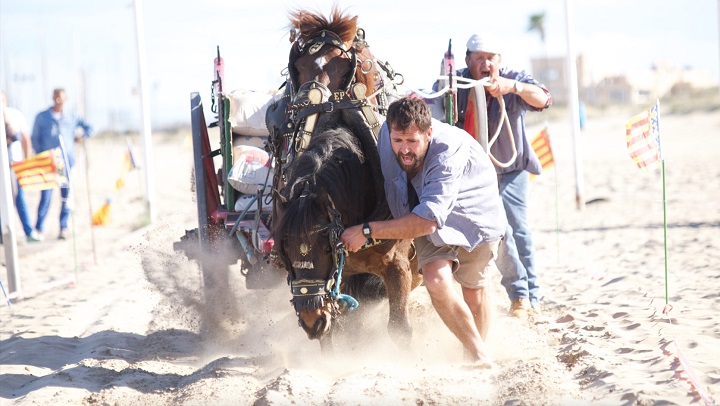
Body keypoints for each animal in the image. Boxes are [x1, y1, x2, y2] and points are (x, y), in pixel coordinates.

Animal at [268, 6, 422, 350]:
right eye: (284, 248)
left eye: (327, 248)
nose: (311, 319)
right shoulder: (338, 283)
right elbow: (335, 333)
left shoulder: (398, 266)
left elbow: (400, 328)